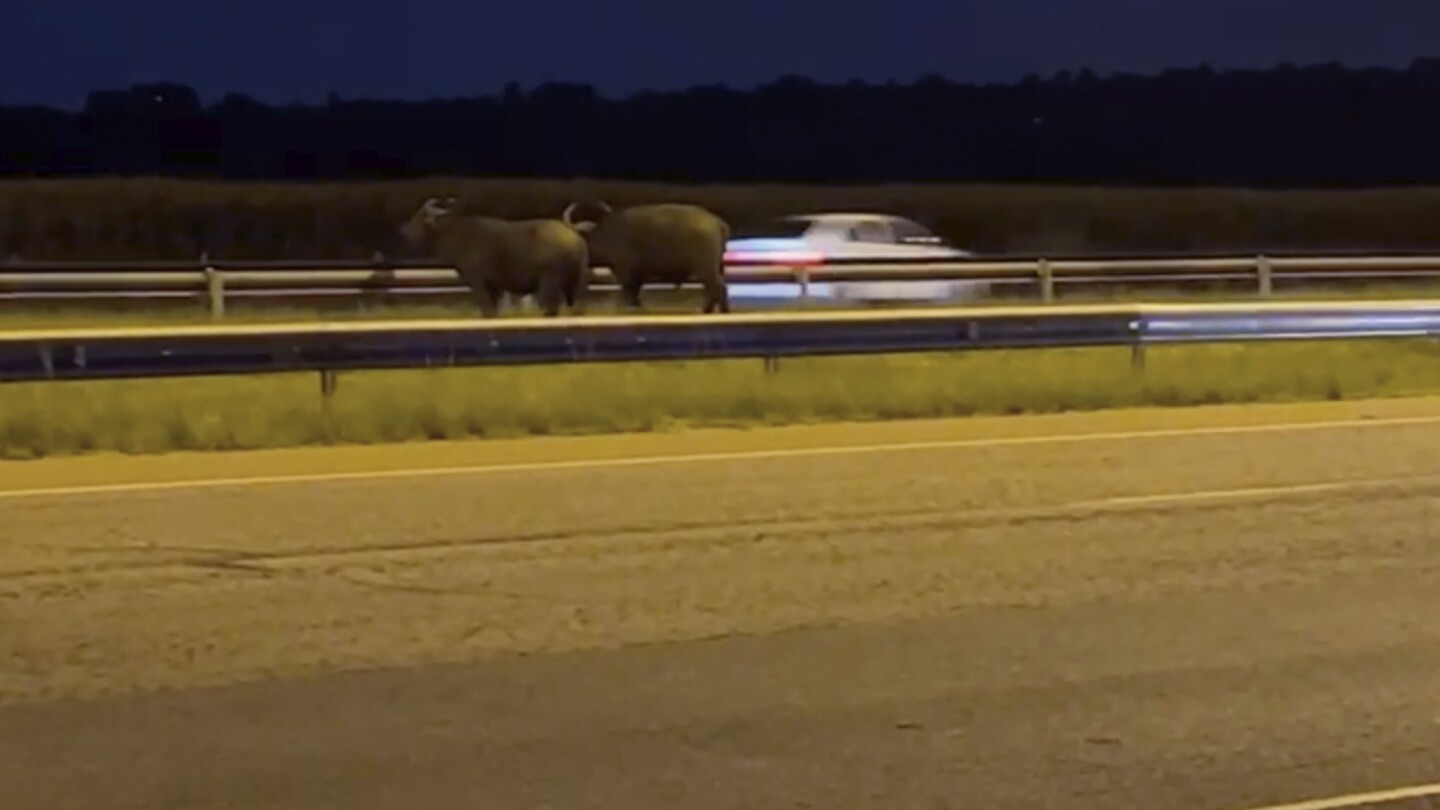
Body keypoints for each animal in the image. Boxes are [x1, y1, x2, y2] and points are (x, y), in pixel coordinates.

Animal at [397, 197, 587, 317]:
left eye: (420, 216)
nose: (404, 231)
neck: (458, 234)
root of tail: (574, 235)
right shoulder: (496, 288)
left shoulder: (479, 283)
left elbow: (487, 311)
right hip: (574, 285)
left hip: (548, 284)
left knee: (551, 308)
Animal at [561, 200, 731, 314]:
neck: (606, 235)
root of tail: (716, 221)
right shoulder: (637, 276)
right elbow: (635, 294)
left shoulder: (625, 273)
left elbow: (629, 293)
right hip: (716, 268)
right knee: (717, 288)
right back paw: (720, 310)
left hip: (706, 268)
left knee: (717, 287)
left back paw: (708, 310)